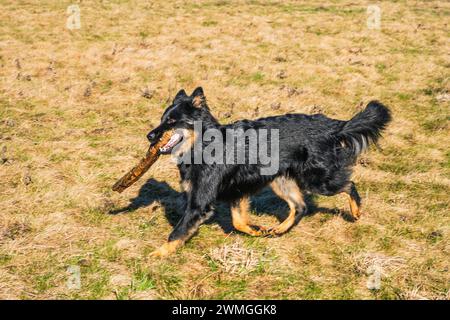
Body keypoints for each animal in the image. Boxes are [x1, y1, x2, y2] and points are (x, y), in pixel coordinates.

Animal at [145, 87, 390, 258]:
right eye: (162, 119)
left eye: (172, 121)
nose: (149, 136)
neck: (204, 145)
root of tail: (333, 126)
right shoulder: (237, 192)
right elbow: (239, 222)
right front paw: (257, 230)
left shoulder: (200, 203)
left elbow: (178, 231)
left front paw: (157, 255)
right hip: (281, 181)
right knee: (300, 207)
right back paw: (280, 229)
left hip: (317, 179)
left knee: (348, 185)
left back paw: (356, 212)